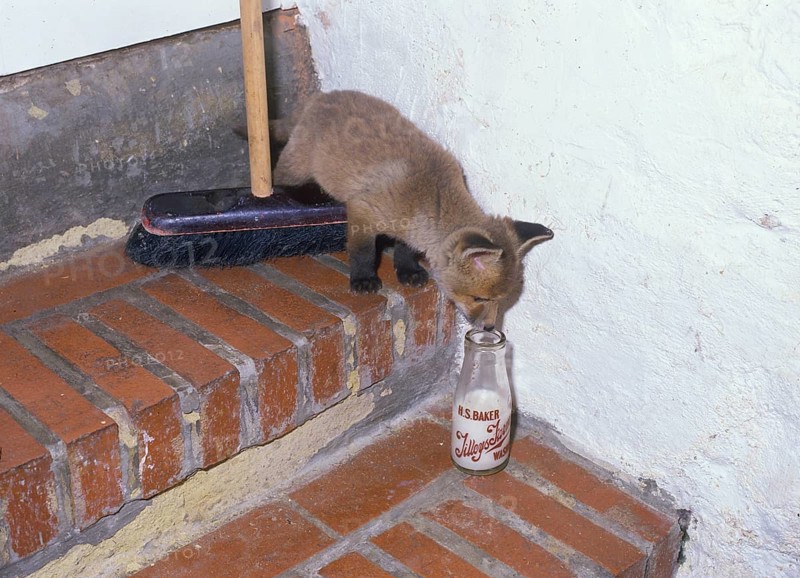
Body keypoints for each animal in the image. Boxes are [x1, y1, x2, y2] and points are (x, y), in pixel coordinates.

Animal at [268, 90, 553, 330]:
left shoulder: (411, 229)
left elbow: (405, 249)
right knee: (279, 179)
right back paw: (307, 193)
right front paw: (363, 279)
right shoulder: (363, 211)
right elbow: (363, 252)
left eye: (503, 300)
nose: (489, 329)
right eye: (479, 298)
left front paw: (408, 270)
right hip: (297, 165)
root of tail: (321, 96)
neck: (431, 198)